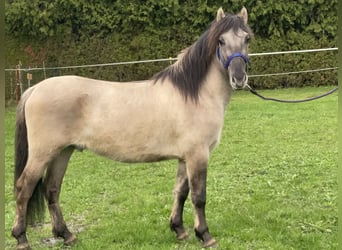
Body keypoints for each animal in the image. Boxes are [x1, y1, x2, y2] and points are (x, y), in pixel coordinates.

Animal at [11, 6, 251, 249]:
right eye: (220, 40)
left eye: (247, 39)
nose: (239, 78)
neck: (194, 94)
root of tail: (34, 89)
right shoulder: (198, 155)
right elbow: (199, 196)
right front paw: (205, 235)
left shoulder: (185, 158)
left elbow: (181, 192)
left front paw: (179, 229)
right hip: (42, 154)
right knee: (24, 189)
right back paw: (21, 238)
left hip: (63, 152)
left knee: (51, 189)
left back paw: (66, 234)